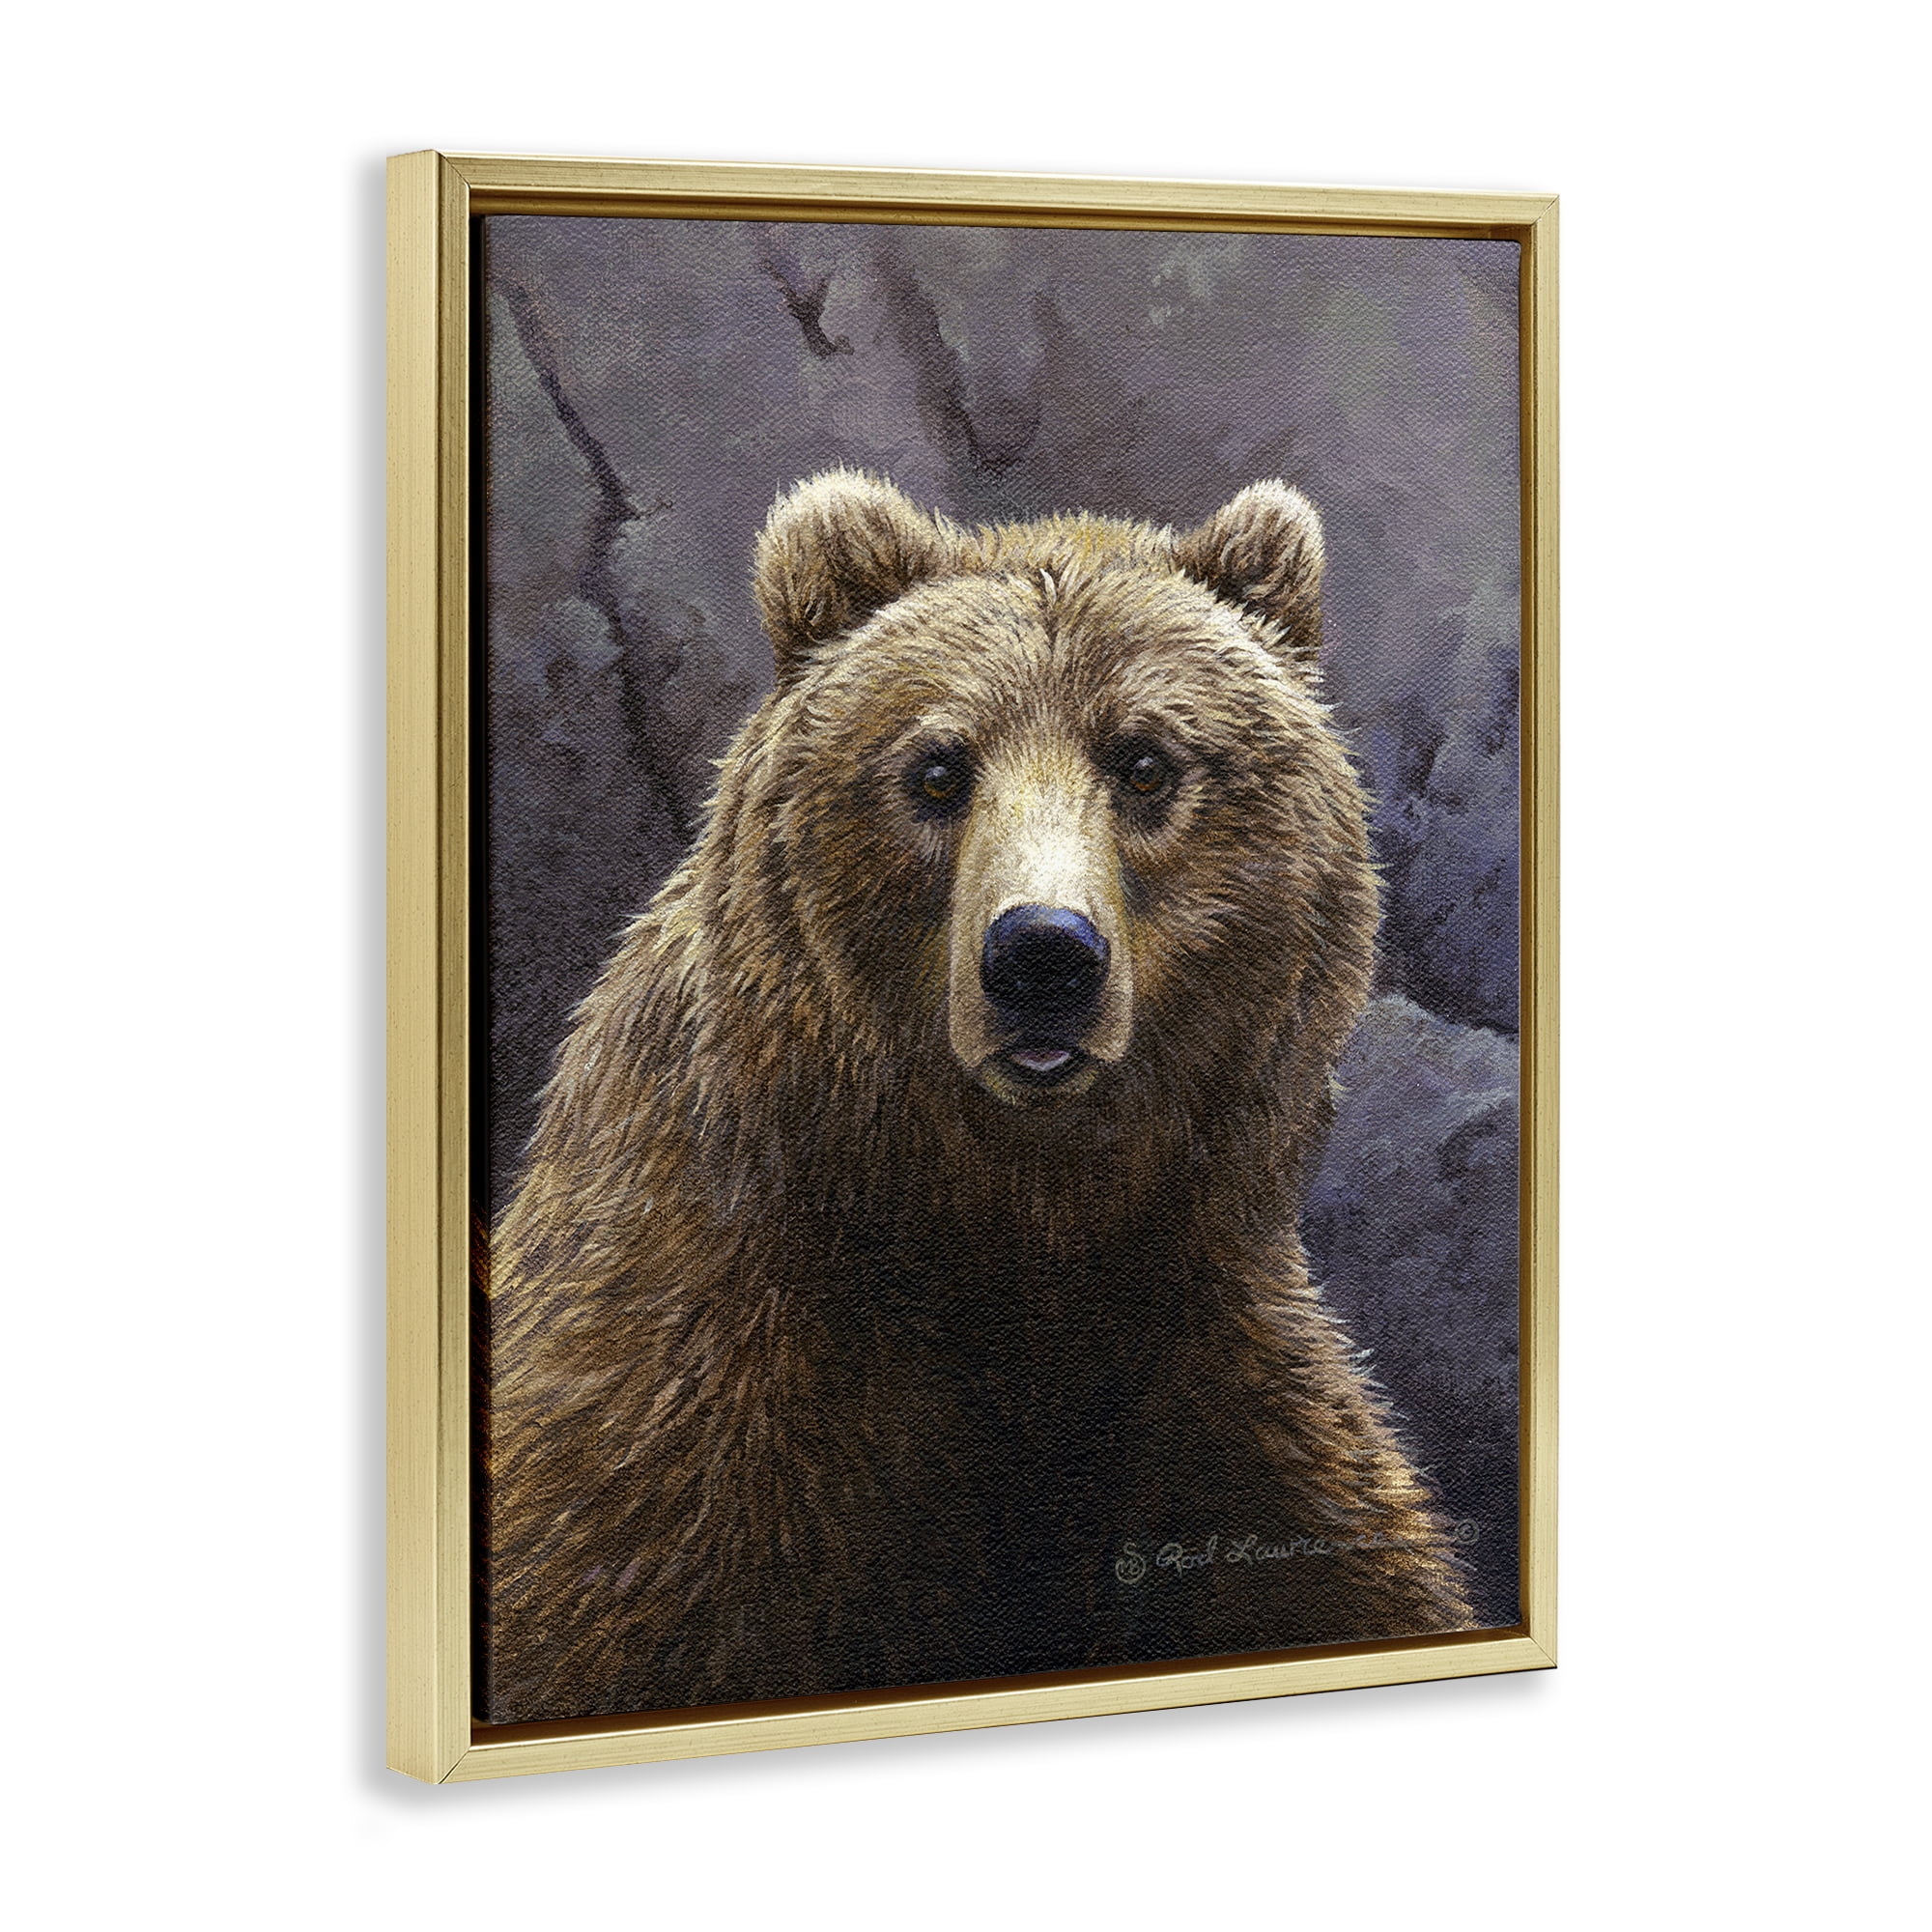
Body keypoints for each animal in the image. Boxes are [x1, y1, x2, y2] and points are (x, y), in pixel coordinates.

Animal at [477, 469, 1475, 1723]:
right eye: (937, 768)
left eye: (1144, 762)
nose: (1041, 953)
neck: (1006, 1227)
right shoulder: (680, 1421)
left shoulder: (1205, 1371)